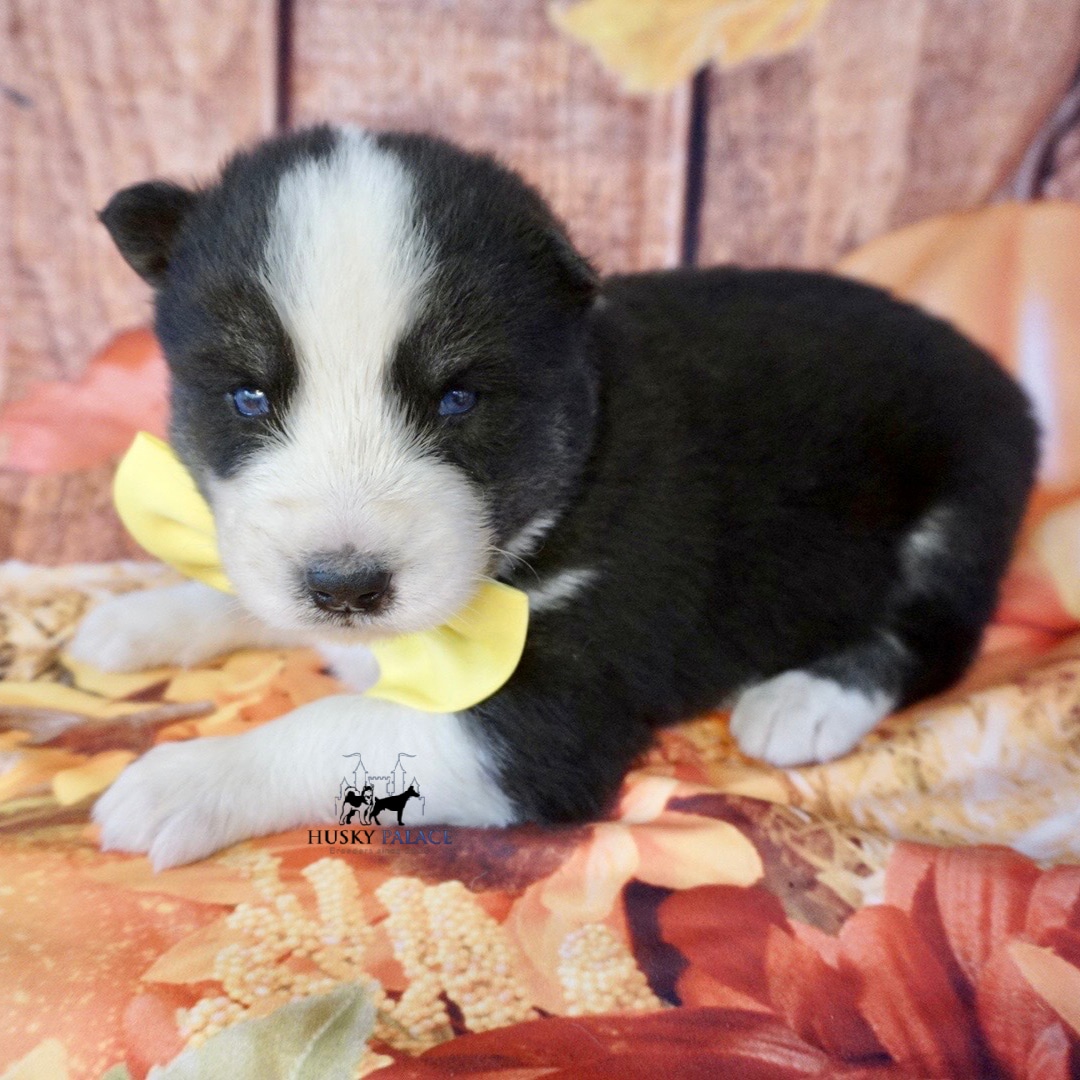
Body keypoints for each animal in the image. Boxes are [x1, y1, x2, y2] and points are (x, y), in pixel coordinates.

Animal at [71, 126, 1041, 868]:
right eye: (248, 396)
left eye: (458, 398)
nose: (345, 588)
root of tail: (1000, 378)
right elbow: (243, 590)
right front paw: (135, 619)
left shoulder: (549, 715)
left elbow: (336, 723)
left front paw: (185, 780)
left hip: (961, 502)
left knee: (934, 634)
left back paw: (806, 700)